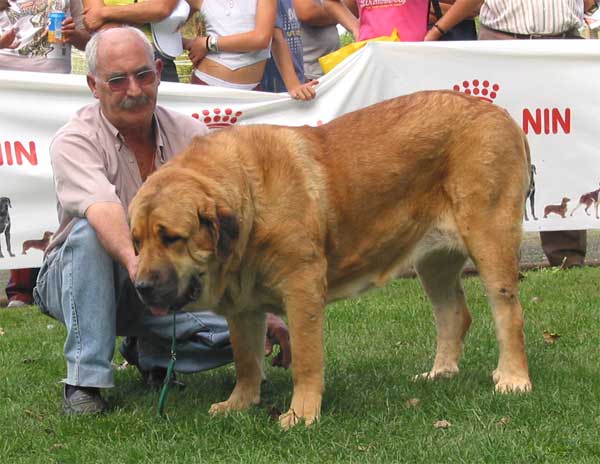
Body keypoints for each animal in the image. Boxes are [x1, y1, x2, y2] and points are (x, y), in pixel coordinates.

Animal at [129, 91, 532, 432]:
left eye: (171, 237)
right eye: (136, 242)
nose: (141, 287)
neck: (251, 200)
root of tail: (499, 113)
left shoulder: (302, 287)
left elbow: (306, 360)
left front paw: (301, 415)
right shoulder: (242, 307)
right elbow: (246, 360)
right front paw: (238, 404)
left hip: (489, 237)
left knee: (508, 313)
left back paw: (513, 379)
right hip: (434, 261)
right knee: (453, 313)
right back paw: (440, 374)